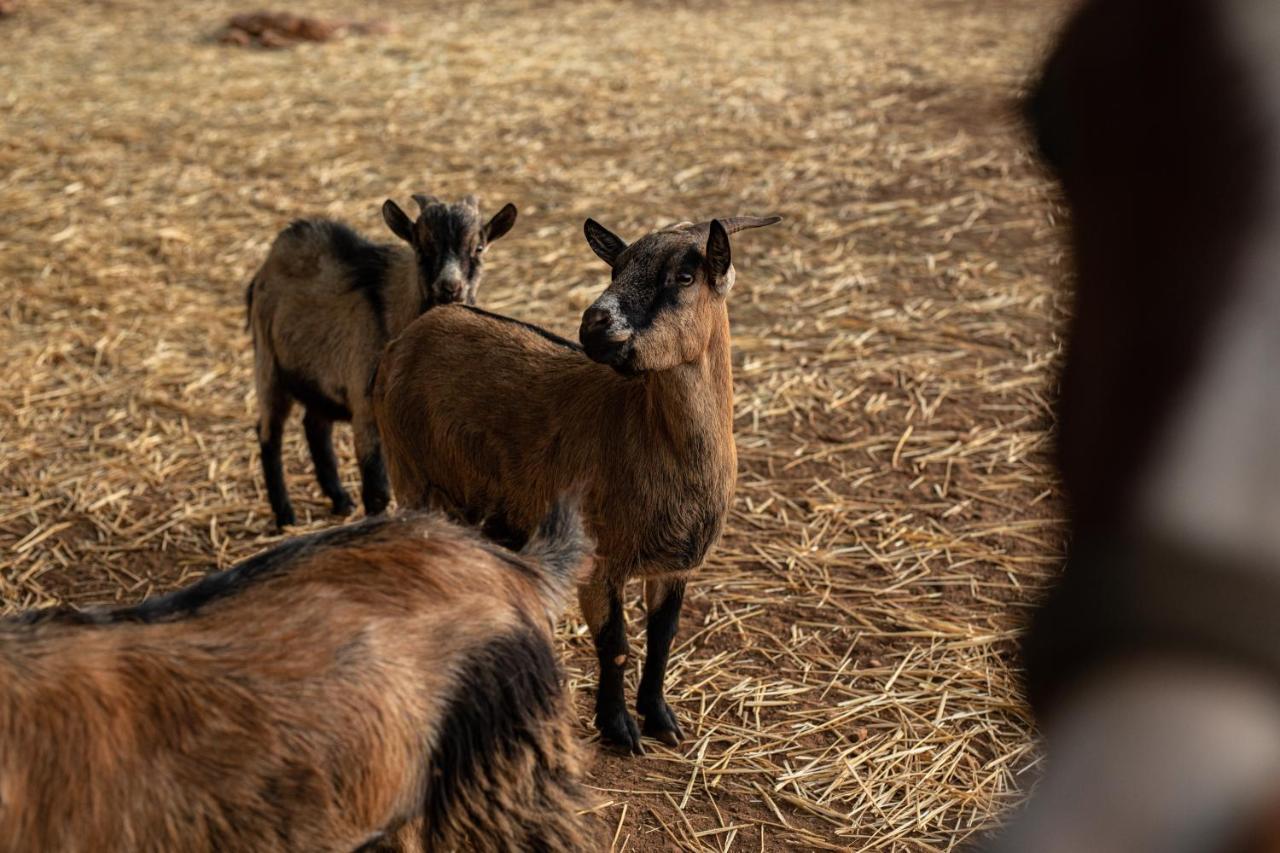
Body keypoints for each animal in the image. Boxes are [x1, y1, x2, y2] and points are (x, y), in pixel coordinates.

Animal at [244, 192, 514, 525]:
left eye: (478, 248)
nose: (450, 288)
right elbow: (377, 491)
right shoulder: (365, 405)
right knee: (269, 432)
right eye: (422, 247)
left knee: (315, 425)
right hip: (269, 363)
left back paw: (340, 500)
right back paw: (285, 515)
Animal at [373, 212, 778, 753]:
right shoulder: (601, 559)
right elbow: (616, 645)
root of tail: (415, 332)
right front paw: (619, 729)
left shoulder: (678, 566)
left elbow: (662, 639)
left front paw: (661, 719)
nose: (593, 324)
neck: (645, 428)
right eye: (615, 270)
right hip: (411, 473)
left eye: (684, 276)